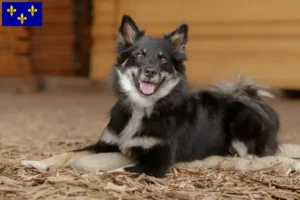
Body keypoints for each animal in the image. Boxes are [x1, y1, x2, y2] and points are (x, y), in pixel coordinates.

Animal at [20, 14, 278, 177]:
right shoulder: (106, 143)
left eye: (163, 59)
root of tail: (245, 98)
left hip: (241, 124)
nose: (150, 71)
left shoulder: (157, 161)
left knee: (253, 152)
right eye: (138, 55)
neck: (141, 108)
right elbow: (69, 152)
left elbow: (117, 171)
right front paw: (38, 162)